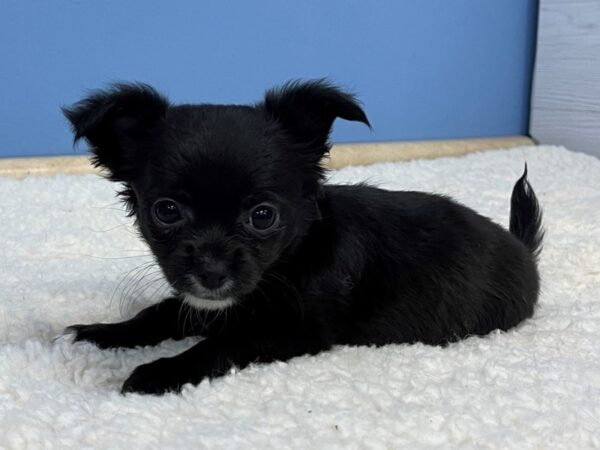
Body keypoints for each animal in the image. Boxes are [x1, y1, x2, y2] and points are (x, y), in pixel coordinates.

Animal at [62, 80, 544, 394]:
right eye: (166, 211)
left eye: (263, 216)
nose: (212, 272)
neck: (293, 254)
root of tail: (522, 248)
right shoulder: (209, 303)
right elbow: (159, 313)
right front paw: (104, 332)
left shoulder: (292, 330)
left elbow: (221, 343)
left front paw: (160, 372)